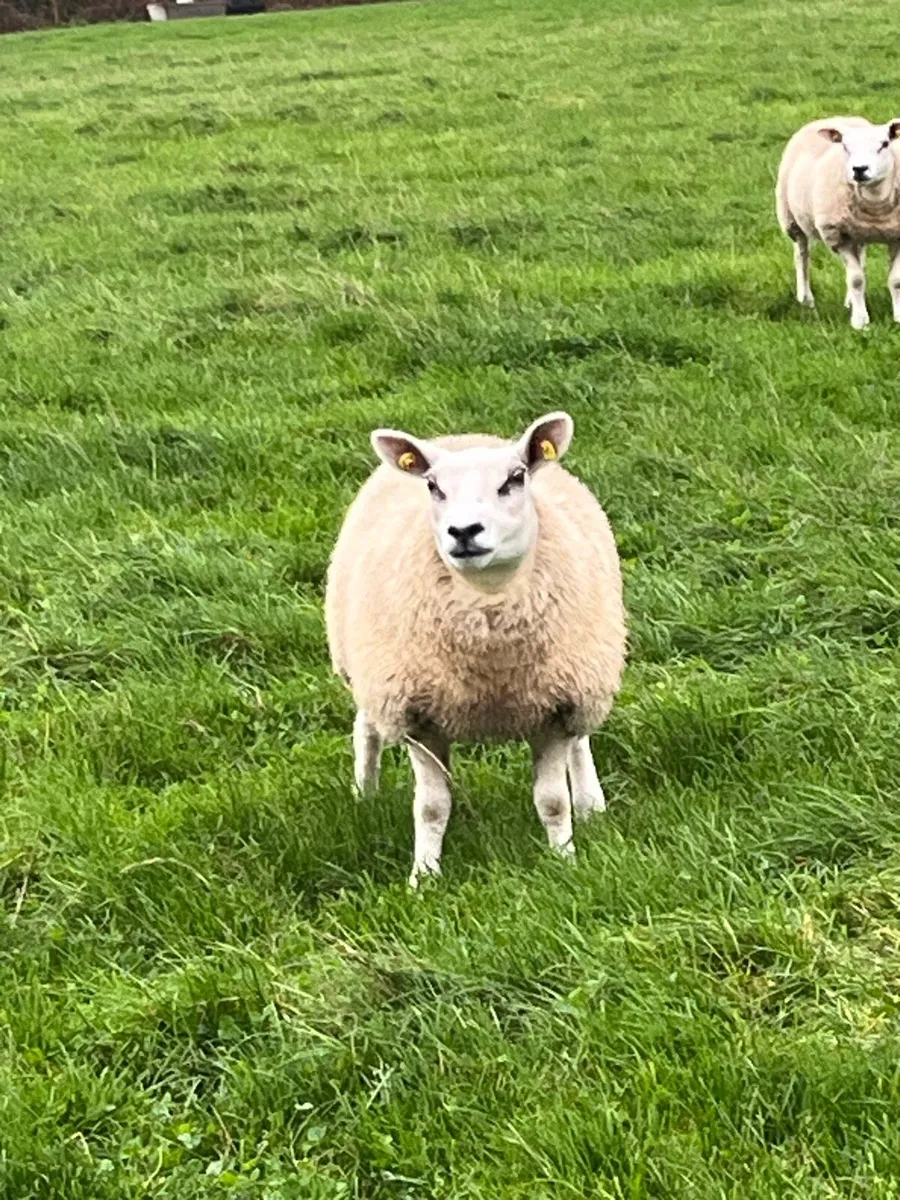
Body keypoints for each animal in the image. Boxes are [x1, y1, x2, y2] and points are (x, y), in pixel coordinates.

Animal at [325, 411, 626, 885]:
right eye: (433, 486)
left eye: (515, 478)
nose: (463, 531)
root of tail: (461, 436)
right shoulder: (416, 712)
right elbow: (431, 807)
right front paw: (423, 878)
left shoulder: (556, 706)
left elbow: (552, 800)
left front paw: (565, 861)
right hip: (369, 667)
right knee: (367, 727)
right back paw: (365, 795)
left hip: (585, 673)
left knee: (581, 739)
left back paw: (591, 804)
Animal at [776, 116, 900, 329]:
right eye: (845, 147)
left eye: (884, 144)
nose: (859, 169)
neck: (875, 204)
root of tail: (839, 117)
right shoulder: (839, 236)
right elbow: (856, 280)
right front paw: (860, 322)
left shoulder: (896, 236)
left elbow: (896, 280)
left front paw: (898, 317)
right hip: (791, 218)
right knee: (802, 255)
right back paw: (806, 299)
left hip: (858, 233)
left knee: (860, 260)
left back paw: (850, 301)